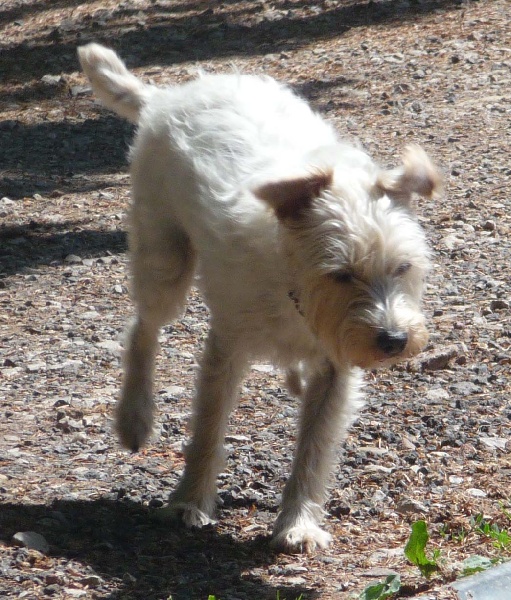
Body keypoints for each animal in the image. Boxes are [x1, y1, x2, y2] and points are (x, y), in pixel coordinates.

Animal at [80, 43, 440, 552]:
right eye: (341, 273)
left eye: (403, 268)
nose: (394, 341)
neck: (293, 288)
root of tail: (166, 97)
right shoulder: (226, 349)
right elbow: (208, 429)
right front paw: (188, 501)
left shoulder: (335, 368)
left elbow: (314, 445)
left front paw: (298, 522)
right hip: (165, 258)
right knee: (143, 328)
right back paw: (135, 416)